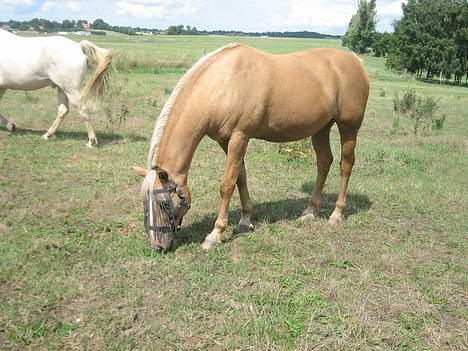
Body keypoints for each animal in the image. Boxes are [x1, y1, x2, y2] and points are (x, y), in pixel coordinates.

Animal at [133, 44, 372, 252]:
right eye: (144, 202)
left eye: (164, 204)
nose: (158, 246)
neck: (224, 83)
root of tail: (356, 61)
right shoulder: (226, 140)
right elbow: (240, 177)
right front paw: (245, 220)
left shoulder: (240, 137)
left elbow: (227, 184)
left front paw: (215, 234)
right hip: (321, 128)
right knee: (324, 162)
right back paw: (309, 211)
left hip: (349, 127)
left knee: (345, 165)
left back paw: (336, 214)